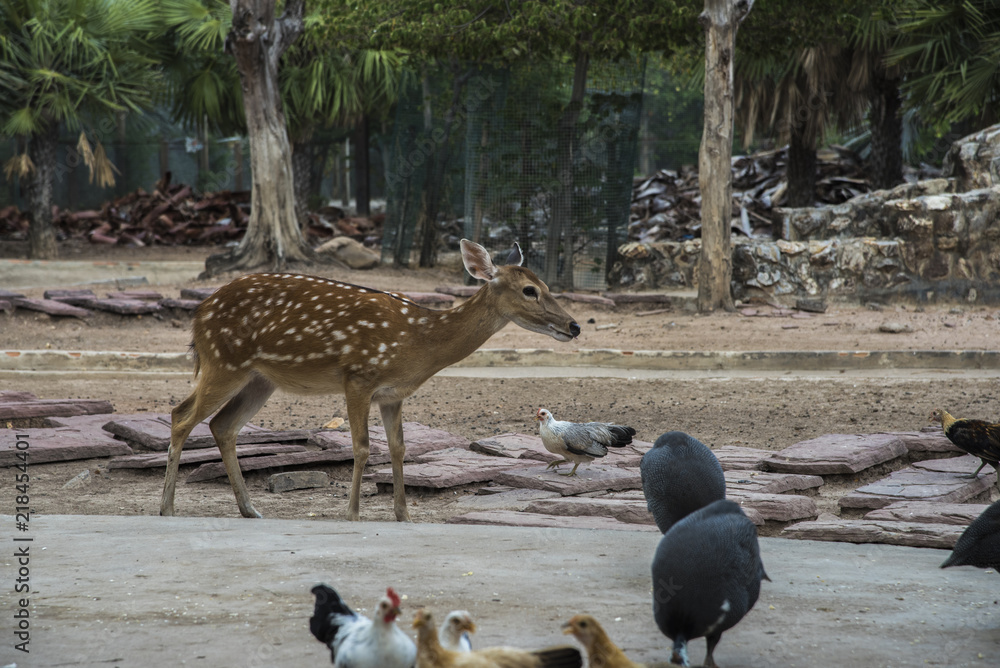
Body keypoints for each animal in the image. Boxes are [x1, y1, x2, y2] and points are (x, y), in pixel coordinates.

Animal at [160, 239, 580, 522]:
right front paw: (352, 513)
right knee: (181, 415)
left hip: (260, 379)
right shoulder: (358, 376)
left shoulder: (393, 394)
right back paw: (167, 507)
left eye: (545, 285)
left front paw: (404, 515)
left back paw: (250, 509)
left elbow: (398, 448)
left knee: (221, 425)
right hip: (224, 361)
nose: (574, 326)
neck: (418, 343)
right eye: (530, 290)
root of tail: (198, 315)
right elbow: (361, 447)